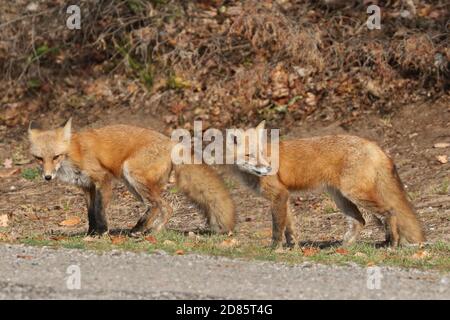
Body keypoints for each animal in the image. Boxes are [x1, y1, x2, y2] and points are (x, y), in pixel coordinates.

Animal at [27, 119, 236, 236]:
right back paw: (141, 228)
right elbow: (90, 213)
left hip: (132, 175)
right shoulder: (86, 186)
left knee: (165, 206)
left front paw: (101, 232)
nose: (47, 177)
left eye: (56, 156)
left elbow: (99, 210)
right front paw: (90, 232)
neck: (72, 153)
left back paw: (152, 232)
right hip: (132, 184)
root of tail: (172, 143)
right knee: (155, 206)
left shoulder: (103, 179)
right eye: (39, 158)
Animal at [230, 120, 424, 248]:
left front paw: (275, 250)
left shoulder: (279, 195)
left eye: (262, 153)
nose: (269, 168)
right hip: (341, 198)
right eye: (249, 155)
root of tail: (373, 144)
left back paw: (392, 244)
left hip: (355, 194)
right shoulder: (284, 197)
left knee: (390, 212)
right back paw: (344, 248)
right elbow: (289, 228)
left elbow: (277, 228)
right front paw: (293, 249)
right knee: (359, 221)